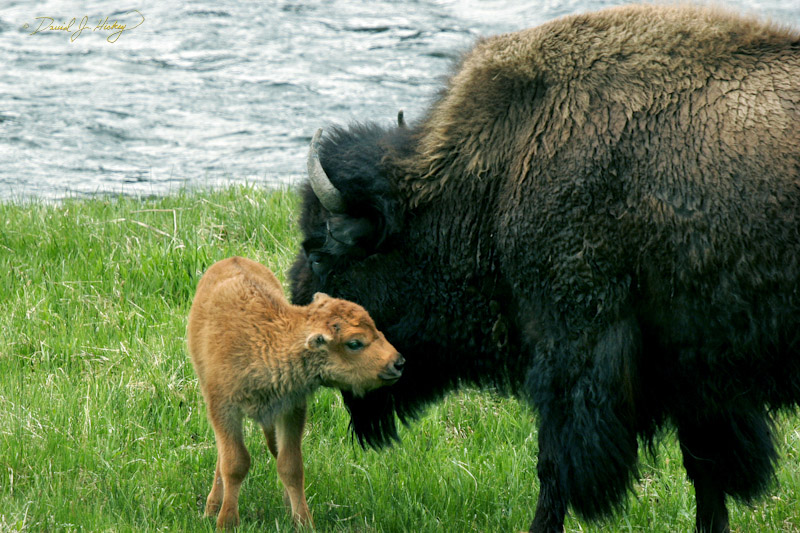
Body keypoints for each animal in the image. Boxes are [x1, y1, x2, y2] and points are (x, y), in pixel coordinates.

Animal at [187, 256, 404, 529]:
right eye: (354, 343)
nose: (398, 363)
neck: (266, 343)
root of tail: (231, 259)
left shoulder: (290, 410)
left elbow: (290, 465)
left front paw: (303, 522)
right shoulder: (224, 409)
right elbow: (235, 463)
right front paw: (226, 522)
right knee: (224, 457)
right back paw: (212, 508)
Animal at [288, 5, 800, 532]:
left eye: (319, 251)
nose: (301, 330)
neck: (496, 177)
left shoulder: (573, 348)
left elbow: (553, 467)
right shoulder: (698, 376)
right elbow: (707, 473)